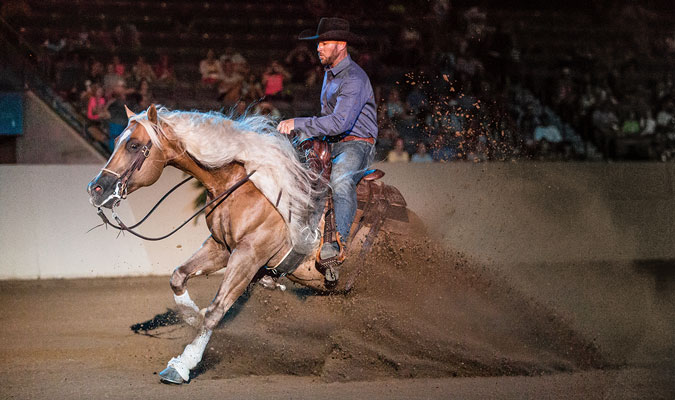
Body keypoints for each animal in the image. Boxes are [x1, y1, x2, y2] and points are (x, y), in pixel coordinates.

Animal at [86, 104, 410, 384]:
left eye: (133, 145)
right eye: (117, 140)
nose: (96, 189)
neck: (243, 184)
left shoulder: (249, 255)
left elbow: (216, 310)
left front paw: (182, 365)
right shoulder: (221, 247)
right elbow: (179, 276)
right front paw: (190, 316)